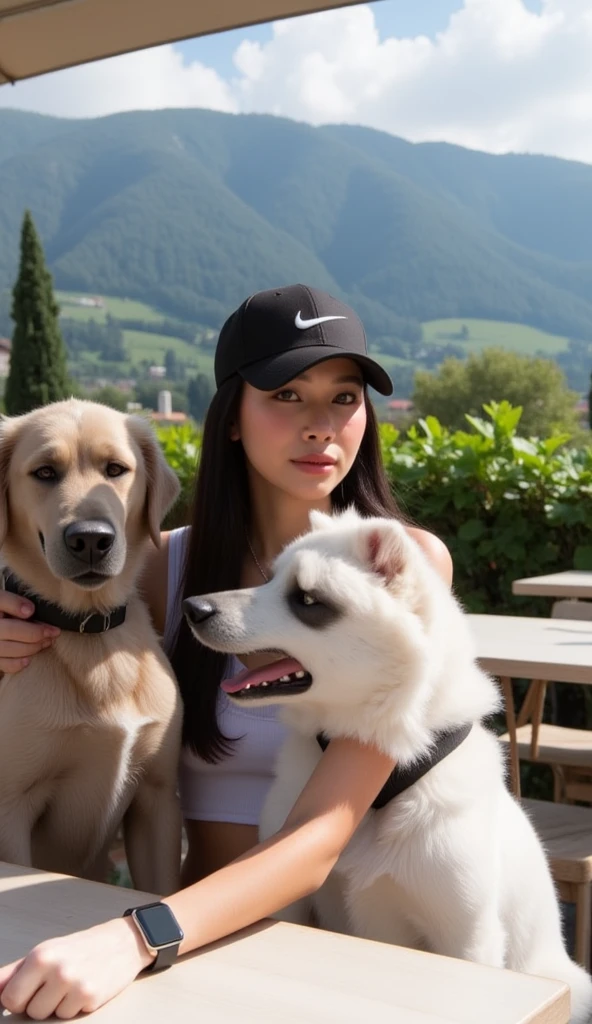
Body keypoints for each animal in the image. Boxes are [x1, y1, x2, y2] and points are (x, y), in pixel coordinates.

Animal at [184, 507, 589, 1019]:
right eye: (269, 578)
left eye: (307, 599)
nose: (194, 608)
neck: (390, 781)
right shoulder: (290, 906)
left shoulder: (466, 934)